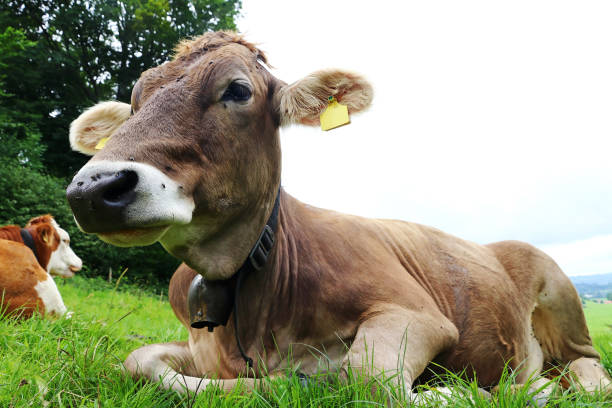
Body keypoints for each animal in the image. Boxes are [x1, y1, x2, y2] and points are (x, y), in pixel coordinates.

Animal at [64, 32, 608, 402]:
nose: (94, 188)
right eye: (135, 101)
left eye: (237, 90)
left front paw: (456, 391)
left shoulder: (418, 313)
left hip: (561, 297)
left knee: (587, 369)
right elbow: (139, 361)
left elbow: (369, 375)